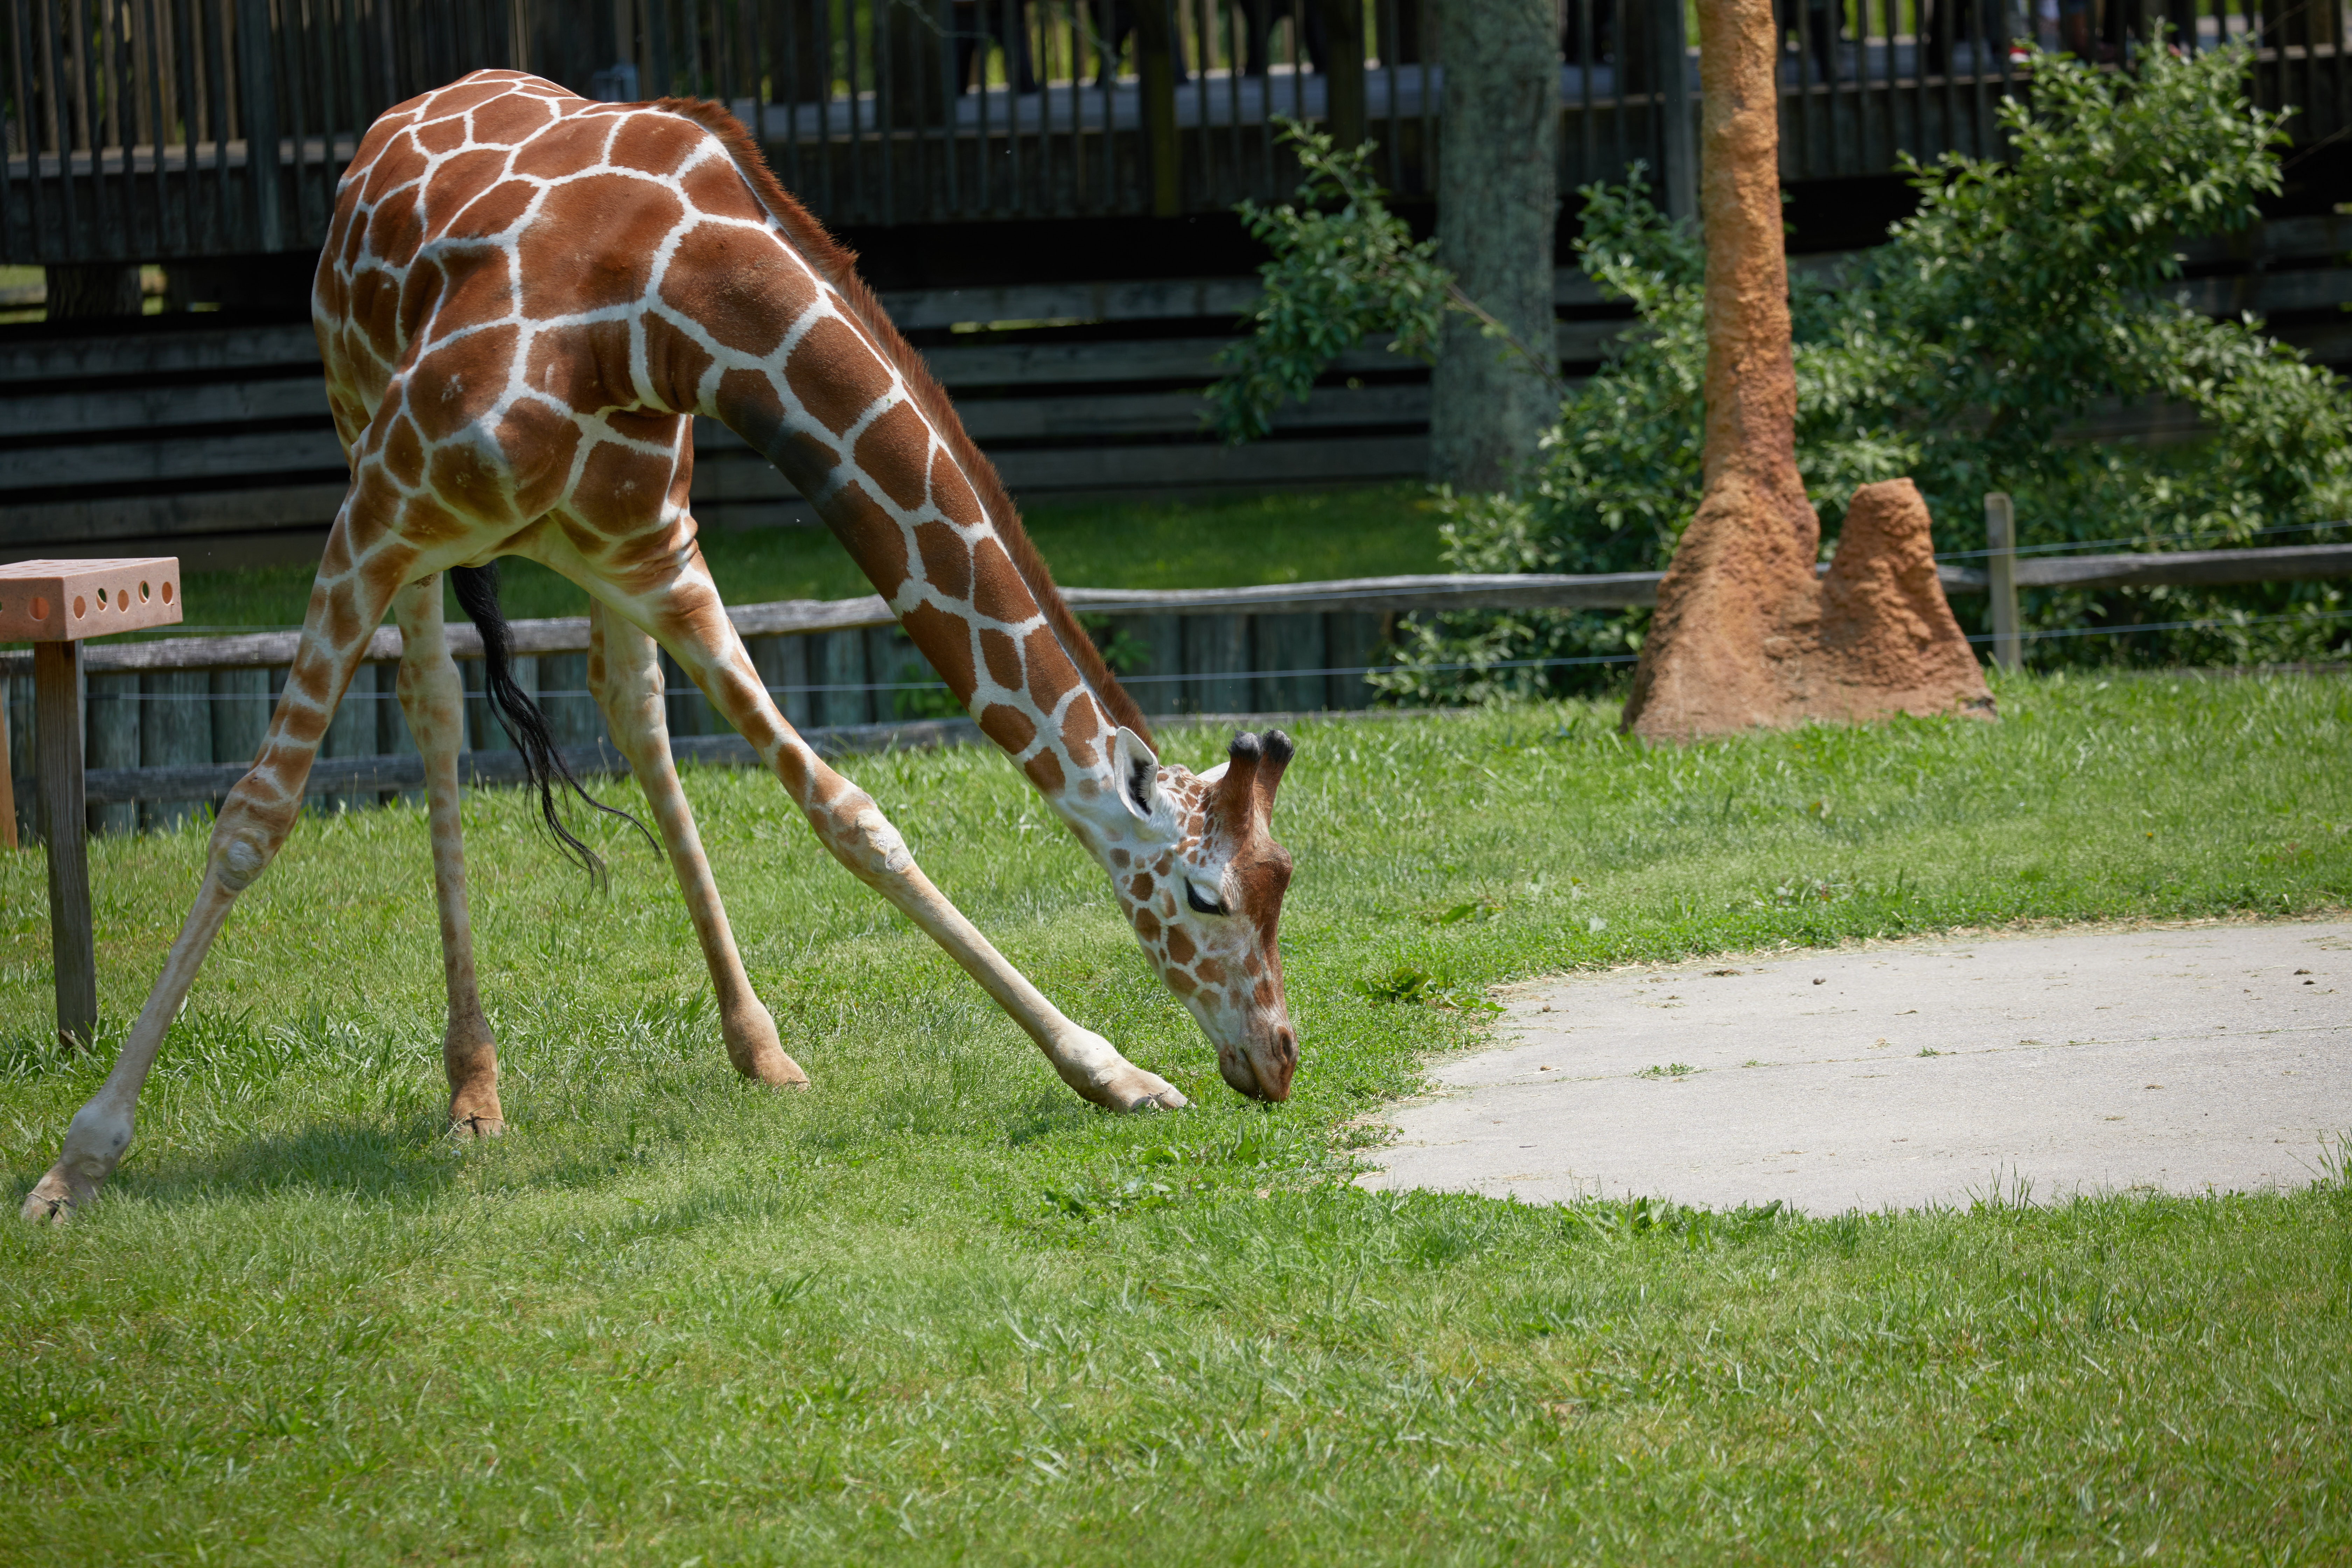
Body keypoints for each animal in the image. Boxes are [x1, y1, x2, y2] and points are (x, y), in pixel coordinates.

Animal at [18, 69, 1302, 1222]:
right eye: (1205, 899)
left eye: (1282, 880)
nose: (1279, 1060)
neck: (673, 305)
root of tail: (406, 111)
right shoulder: (377, 515)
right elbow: (252, 820)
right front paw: (78, 1163)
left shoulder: (665, 557)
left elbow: (851, 814)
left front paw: (1115, 1074)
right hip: (368, 449)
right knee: (433, 710)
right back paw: (472, 1092)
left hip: (609, 557)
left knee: (626, 709)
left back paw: (755, 1046)